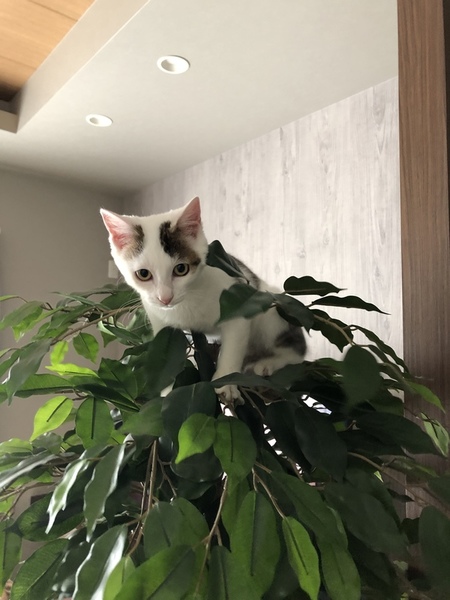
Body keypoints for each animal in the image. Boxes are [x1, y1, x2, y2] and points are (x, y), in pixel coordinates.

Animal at [101, 197, 306, 402]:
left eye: (181, 269)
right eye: (143, 274)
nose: (165, 298)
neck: (187, 300)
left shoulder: (237, 302)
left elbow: (232, 350)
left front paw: (226, 383)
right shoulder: (160, 322)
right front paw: (167, 393)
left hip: (270, 306)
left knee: (298, 351)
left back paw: (269, 362)